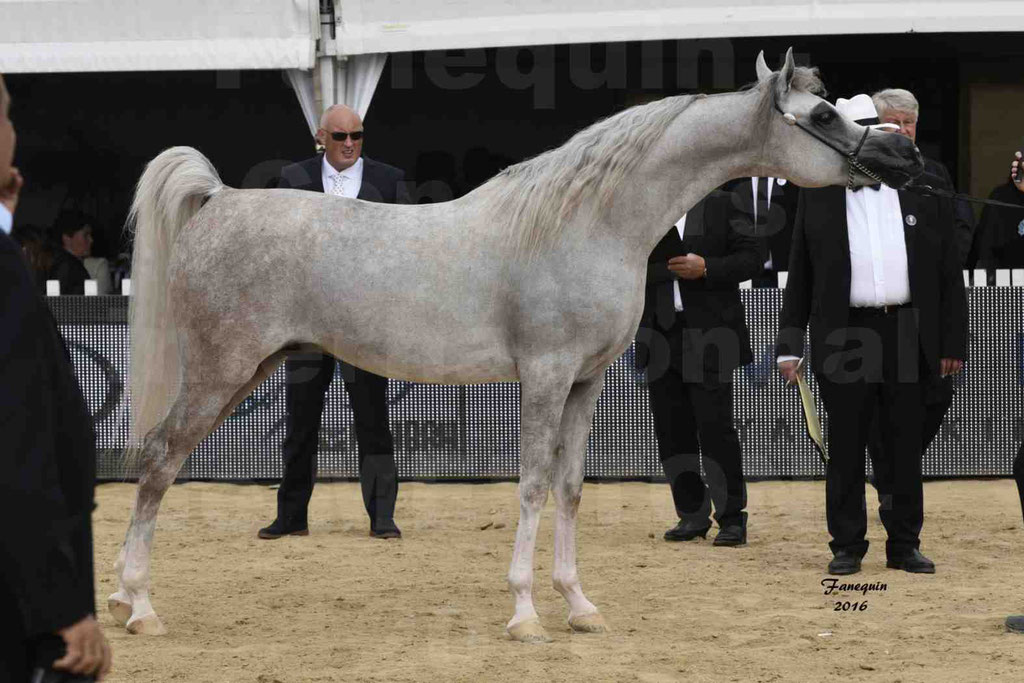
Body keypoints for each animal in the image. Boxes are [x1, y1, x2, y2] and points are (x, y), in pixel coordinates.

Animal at [110, 50, 921, 643]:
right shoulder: (545, 376)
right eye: (823, 113)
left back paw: (121, 598)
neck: (586, 221)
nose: (901, 160)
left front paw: (579, 605)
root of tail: (218, 200)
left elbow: (569, 487)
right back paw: (141, 607)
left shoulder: (586, 384)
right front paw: (526, 613)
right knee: (158, 461)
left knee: (160, 461)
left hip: (248, 372)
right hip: (220, 372)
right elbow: (530, 484)